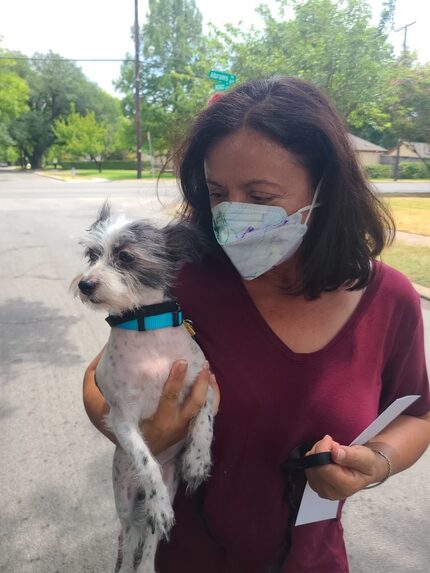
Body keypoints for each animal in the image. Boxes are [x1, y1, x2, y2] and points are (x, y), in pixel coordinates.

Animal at [72, 204, 217, 572]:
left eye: (125, 257)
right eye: (92, 255)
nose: (85, 284)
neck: (145, 329)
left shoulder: (207, 385)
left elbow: (205, 419)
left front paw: (198, 460)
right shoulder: (121, 419)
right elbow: (145, 459)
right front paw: (160, 500)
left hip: (171, 481)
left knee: (150, 540)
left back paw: (148, 564)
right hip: (124, 499)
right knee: (131, 534)